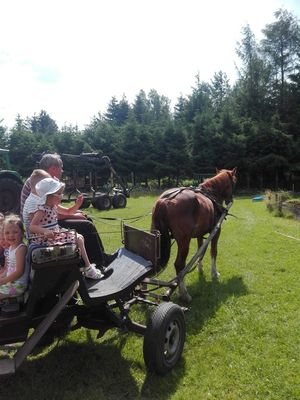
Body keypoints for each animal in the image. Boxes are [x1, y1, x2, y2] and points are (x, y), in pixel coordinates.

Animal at [151, 169, 236, 304]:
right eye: (234, 181)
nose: (230, 200)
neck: (211, 194)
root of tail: (164, 200)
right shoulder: (216, 231)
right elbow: (213, 252)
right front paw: (214, 274)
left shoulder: (200, 234)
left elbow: (200, 251)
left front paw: (200, 269)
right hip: (184, 241)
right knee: (179, 265)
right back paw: (184, 294)